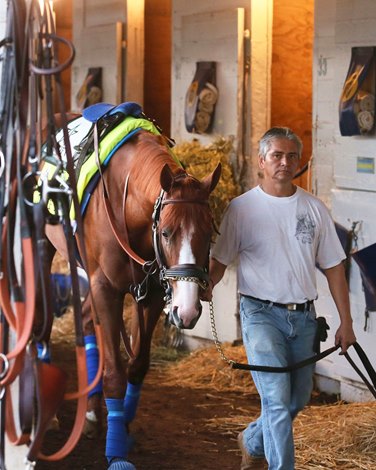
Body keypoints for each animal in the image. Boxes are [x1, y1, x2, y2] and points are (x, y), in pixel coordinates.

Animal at [42, 116, 222, 466]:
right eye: (166, 233)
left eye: (210, 233)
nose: (188, 310)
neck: (127, 203)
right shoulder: (106, 288)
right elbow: (114, 374)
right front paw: (116, 454)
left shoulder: (149, 293)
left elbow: (137, 366)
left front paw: (122, 429)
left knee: (87, 324)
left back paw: (92, 415)